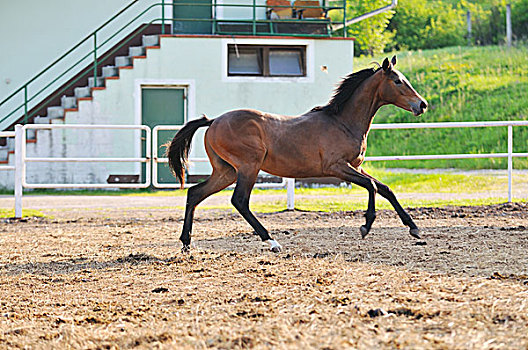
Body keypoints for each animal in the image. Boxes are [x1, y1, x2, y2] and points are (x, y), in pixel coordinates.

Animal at [167, 56, 426, 252]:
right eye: (397, 81)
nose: (422, 105)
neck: (342, 122)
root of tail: (213, 121)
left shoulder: (356, 166)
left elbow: (385, 189)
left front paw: (413, 227)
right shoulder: (337, 167)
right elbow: (372, 187)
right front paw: (366, 226)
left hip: (226, 172)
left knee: (194, 193)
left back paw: (186, 243)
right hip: (248, 168)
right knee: (239, 201)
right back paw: (272, 242)